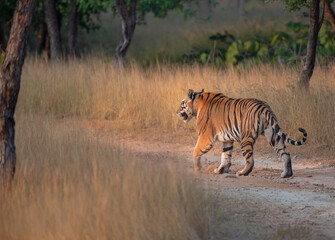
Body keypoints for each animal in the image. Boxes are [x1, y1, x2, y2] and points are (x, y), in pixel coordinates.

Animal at [177, 89, 308, 177]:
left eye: (182, 104)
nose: (176, 111)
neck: (197, 104)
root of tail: (264, 106)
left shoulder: (206, 137)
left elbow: (195, 152)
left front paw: (197, 169)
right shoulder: (227, 139)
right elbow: (225, 155)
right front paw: (220, 170)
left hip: (246, 138)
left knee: (250, 159)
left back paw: (242, 173)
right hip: (273, 136)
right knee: (285, 153)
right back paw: (287, 174)